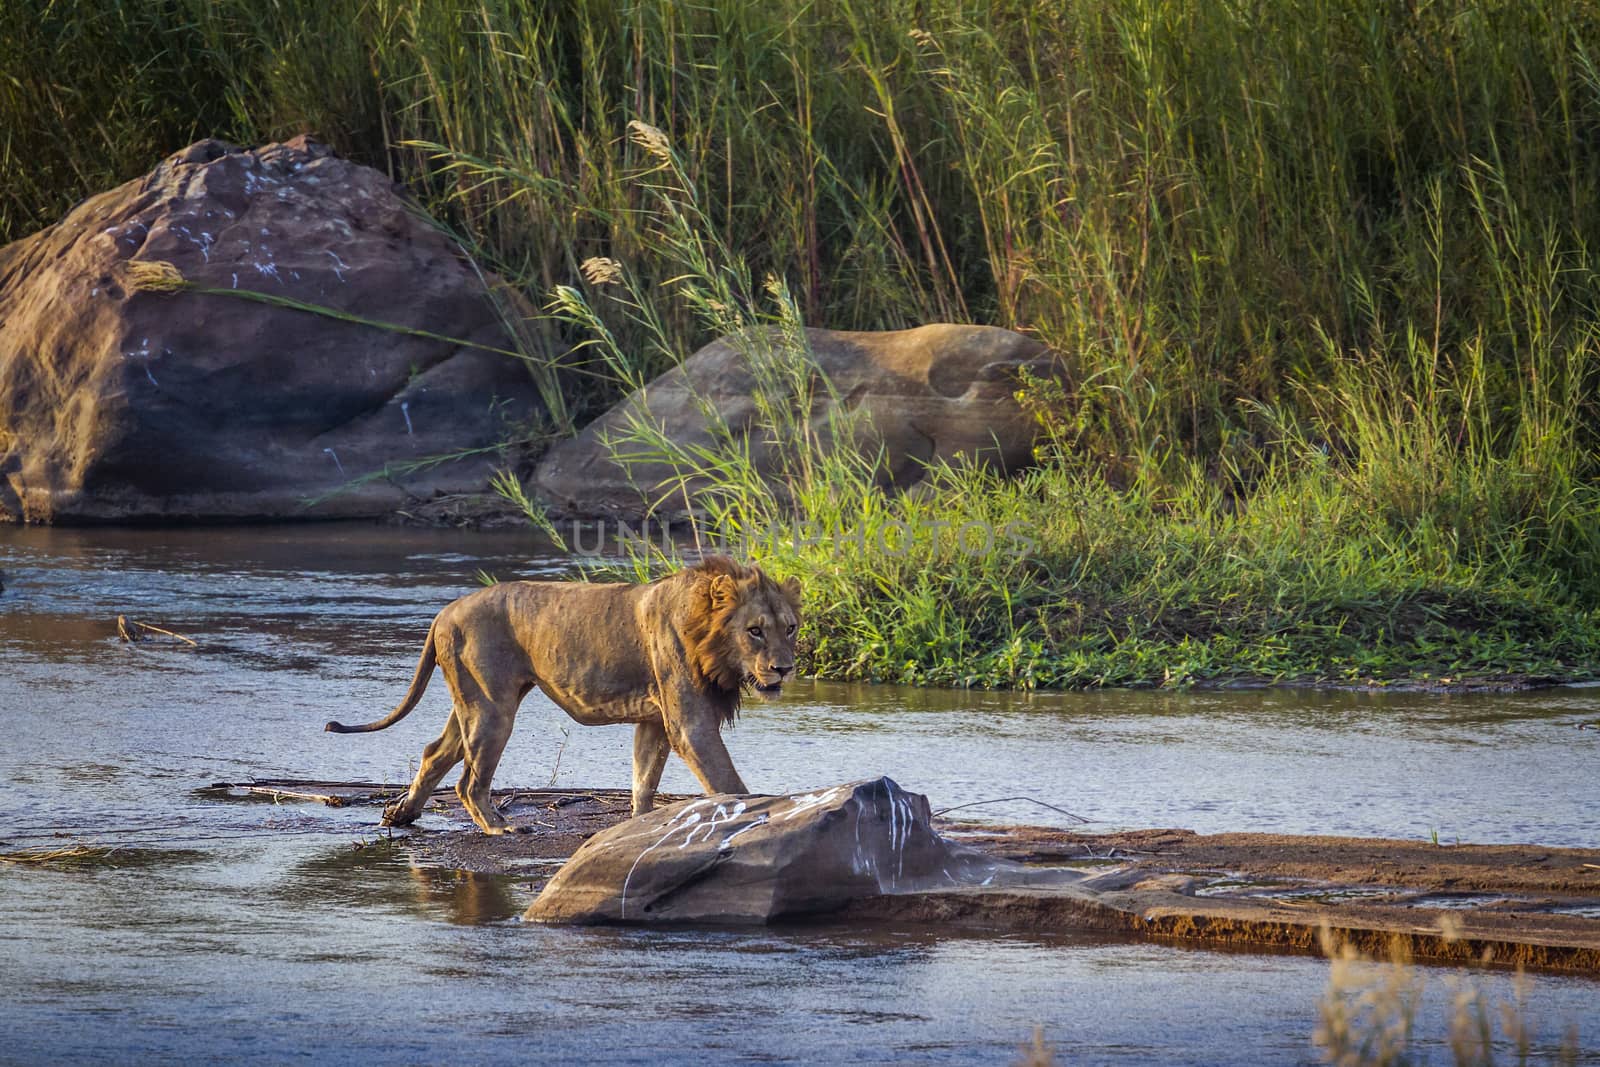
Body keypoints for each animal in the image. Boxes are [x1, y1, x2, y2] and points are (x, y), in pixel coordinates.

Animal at [323, 556, 800, 838]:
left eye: (790, 628)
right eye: (755, 631)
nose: (784, 668)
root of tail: (444, 611)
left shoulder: (653, 720)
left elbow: (643, 780)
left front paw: (638, 828)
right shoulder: (690, 723)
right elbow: (727, 781)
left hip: (473, 704)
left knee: (434, 752)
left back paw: (401, 814)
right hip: (492, 708)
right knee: (468, 781)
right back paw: (499, 827)